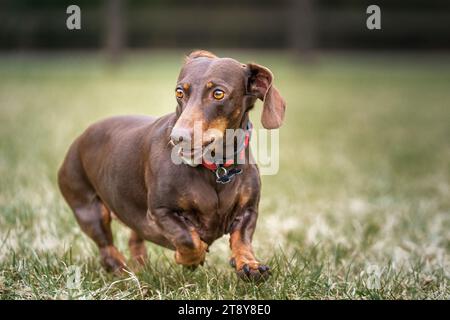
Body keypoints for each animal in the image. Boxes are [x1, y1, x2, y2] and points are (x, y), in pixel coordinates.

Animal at [58, 50, 286, 280]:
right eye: (179, 92)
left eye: (218, 94)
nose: (178, 138)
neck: (216, 167)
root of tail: (78, 140)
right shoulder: (161, 212)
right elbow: (188, 238)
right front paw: (190, 258)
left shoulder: (248, 210)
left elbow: (242, 239)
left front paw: (249, 264)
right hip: (90, 210)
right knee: (106, 249)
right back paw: (124, 272)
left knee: (134, 238)